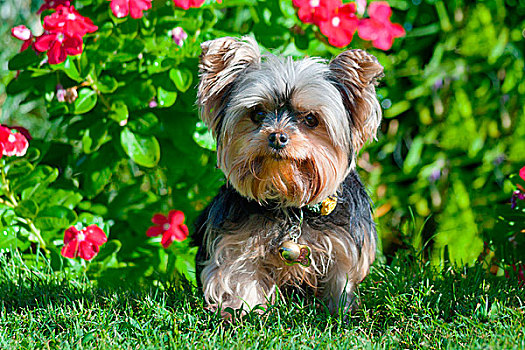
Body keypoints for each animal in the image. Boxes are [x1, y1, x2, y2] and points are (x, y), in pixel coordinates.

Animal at [192, 36, 380, 314]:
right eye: (257, 113)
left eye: (311, 119)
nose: (277, 136)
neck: (290, 207)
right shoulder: (236, 247)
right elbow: (241, 281)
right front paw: (247, 314)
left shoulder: (342, 246)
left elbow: (340, 284)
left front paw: (340, 314)